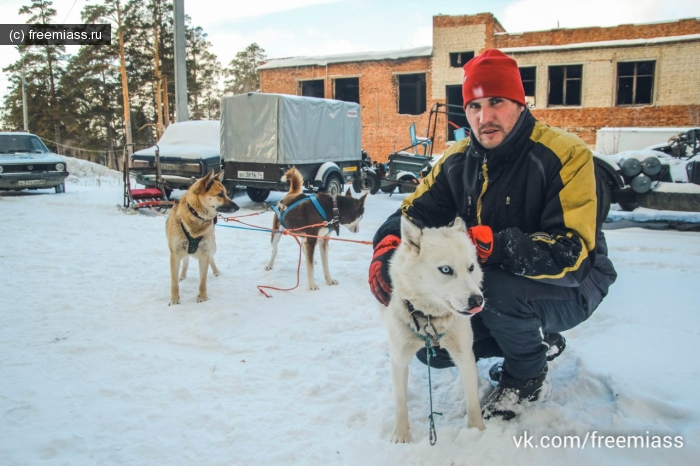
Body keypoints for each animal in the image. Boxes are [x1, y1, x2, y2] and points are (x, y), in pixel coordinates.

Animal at [167, 169, 241, 304]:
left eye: (226, 193)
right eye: (220, 194)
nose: (238, 207)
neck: (196, 217)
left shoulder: (204, 253)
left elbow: (203, 281)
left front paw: (202, 298)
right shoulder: (175, 254)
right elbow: (174, 283)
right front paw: (174, 300)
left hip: (212, 247)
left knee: (211, 258)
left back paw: (216, 272)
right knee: (185, 261)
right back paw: (182, 276)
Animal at [380, 217, 484, 442]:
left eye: (471, 267)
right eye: (446, 269)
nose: (478, 300)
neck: (430, 318)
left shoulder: (464, 355)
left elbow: (473, 401)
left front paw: (478, 431)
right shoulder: (399, 359)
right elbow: (400, 403)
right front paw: (401, 435)